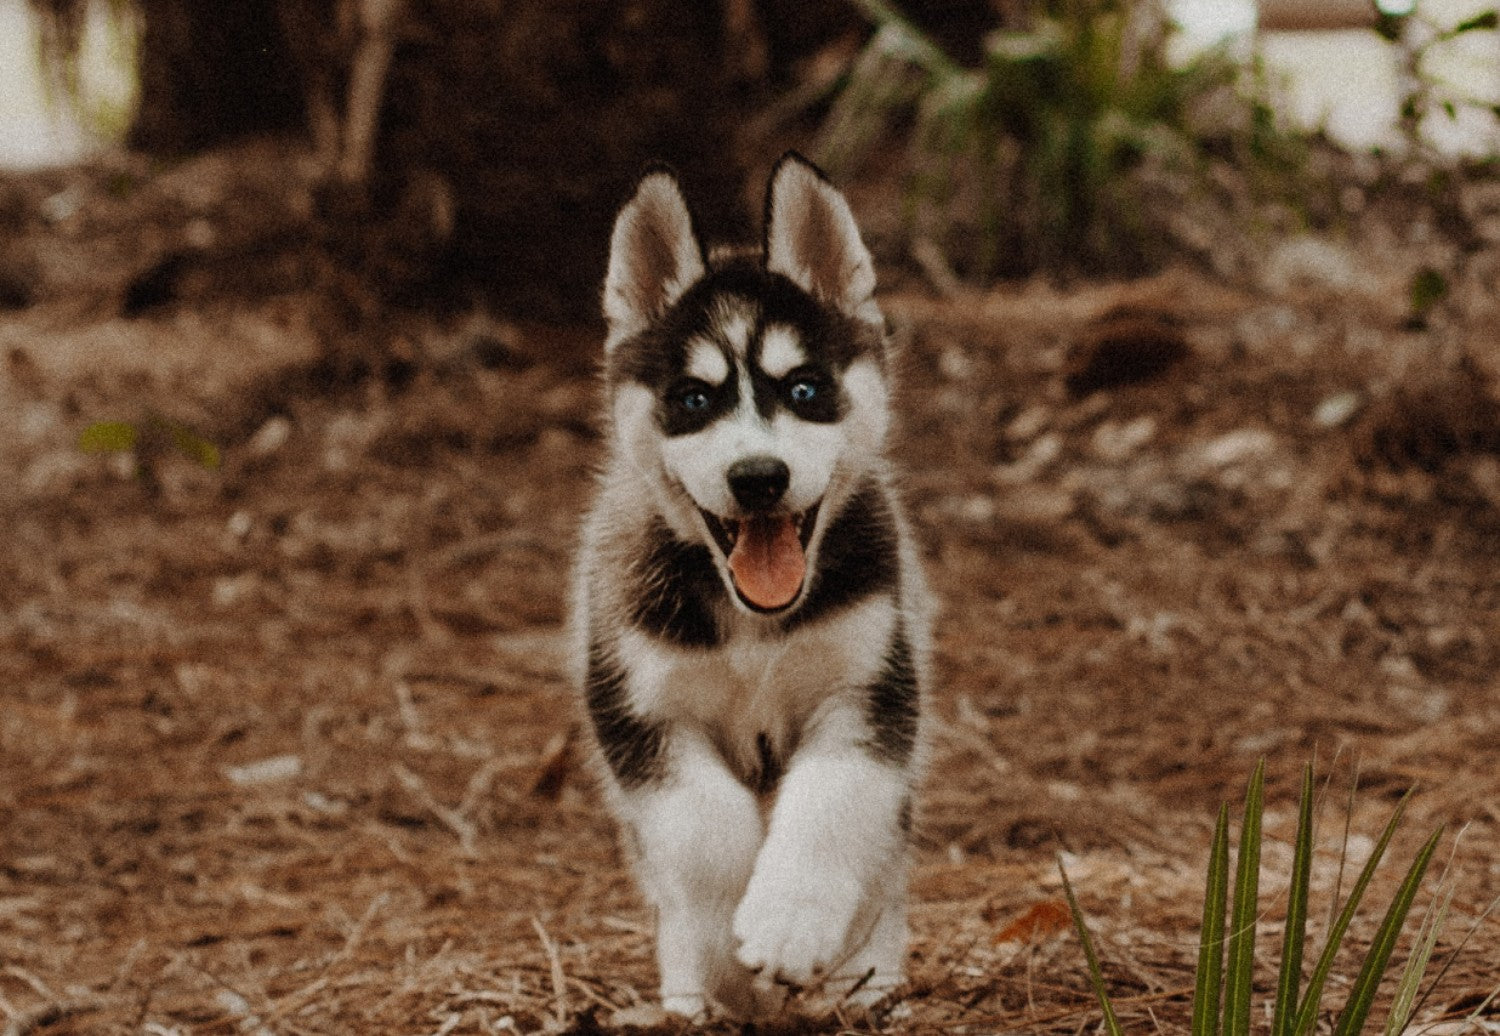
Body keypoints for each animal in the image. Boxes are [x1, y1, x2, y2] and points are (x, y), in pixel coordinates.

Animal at [570, 153, 930, 1019]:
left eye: (803, 389)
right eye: (693, 399)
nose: (759, 477)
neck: (754, 624)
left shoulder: (868, 692)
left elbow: (829, 806)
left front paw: (789, 926)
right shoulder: (641, 711)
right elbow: (704, 832)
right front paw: (731, 951)